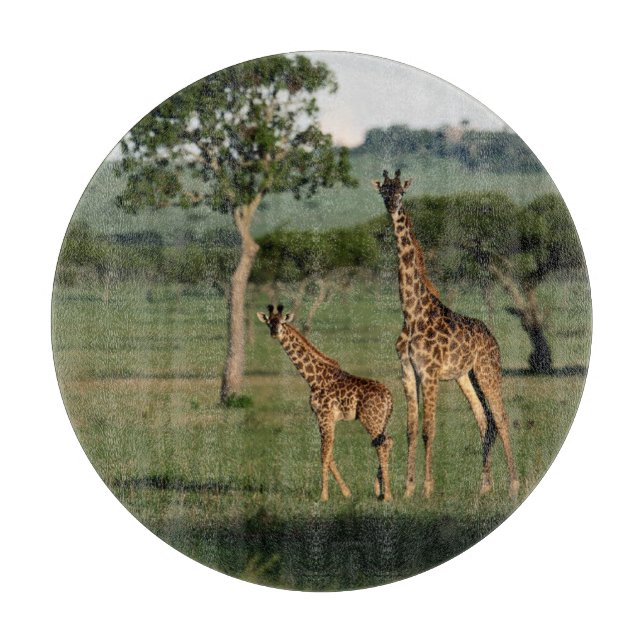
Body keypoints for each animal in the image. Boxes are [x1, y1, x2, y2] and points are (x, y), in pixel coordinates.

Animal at [256, 304, 394, 502]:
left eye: (282, 322)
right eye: (269, 322)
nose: (274, 332)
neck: (313, 378)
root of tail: (389, 397)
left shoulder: (324, 415)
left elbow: (324, 454)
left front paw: (323, 496)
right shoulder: (328, 419)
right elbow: (330, 454)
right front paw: (346, 492)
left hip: (371, 420)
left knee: (381, 446)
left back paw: (388, 495)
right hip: (382, 420)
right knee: (388, 441)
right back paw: (379, 491)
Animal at [372, 170, 519, 499]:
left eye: (401, 191)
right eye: (384, 191)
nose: (392, 205)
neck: (411, 313)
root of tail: (493, 338)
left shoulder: (430, 373)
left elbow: (429, 429)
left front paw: (427, 488)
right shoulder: (408, 372)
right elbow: (411, 429)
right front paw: (407, 489)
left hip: (488, 371)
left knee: (501, 418)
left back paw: (514, 484)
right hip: (467, 376)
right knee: (484, 420)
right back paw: (484, 486)